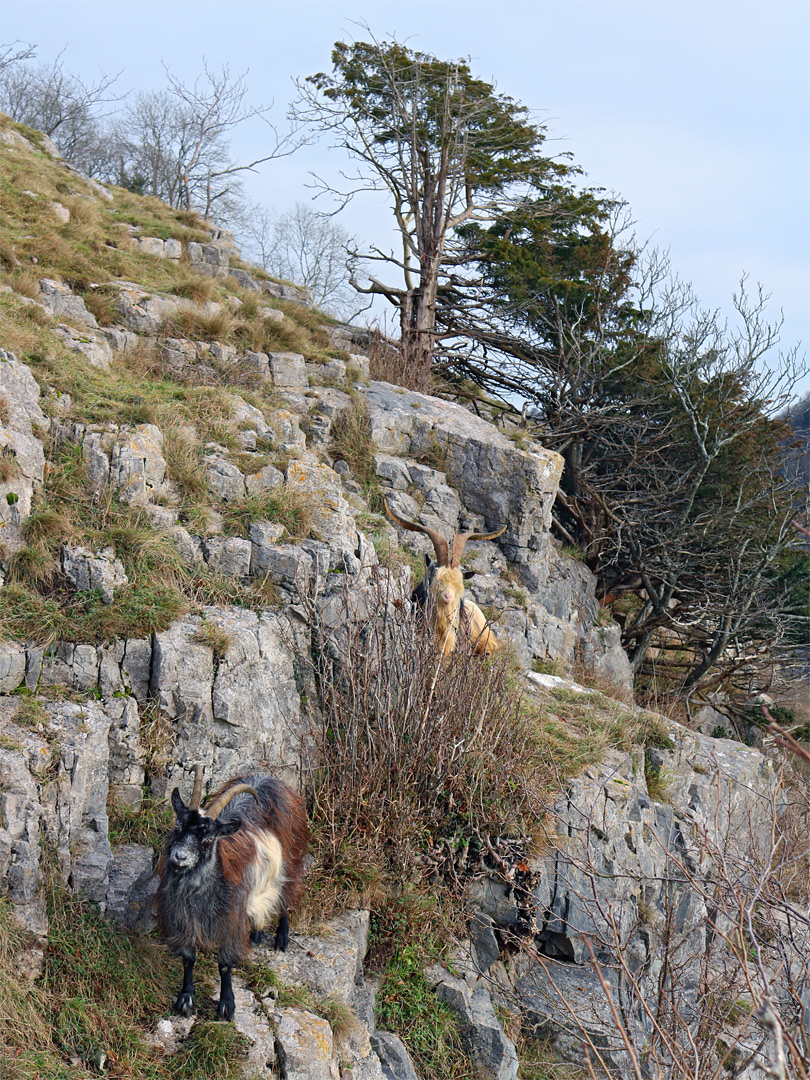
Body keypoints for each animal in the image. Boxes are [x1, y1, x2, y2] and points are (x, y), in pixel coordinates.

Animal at [156, 768, 308, 1019]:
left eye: (209, 838)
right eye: (178, 825)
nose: (179, 858)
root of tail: (269, 780)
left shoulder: (231, 920)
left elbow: (225, 964)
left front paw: (227, 1005)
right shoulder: (182, 917)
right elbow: (188, 959)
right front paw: (185, 998)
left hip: (292, 859)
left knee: (286, 896)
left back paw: (281, 937)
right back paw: (256, 932)